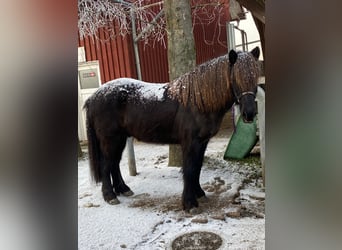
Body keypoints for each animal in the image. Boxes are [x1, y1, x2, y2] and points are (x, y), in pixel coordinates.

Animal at [83, 47, 260, 211]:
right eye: (235, 78)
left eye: (255, 77)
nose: (249, 113)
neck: (197, 101)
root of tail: (93, 97)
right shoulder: (191, 142)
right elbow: (190, 169)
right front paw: (189, 203)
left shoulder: (202, 142)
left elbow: (197, 168)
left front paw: (199, 194)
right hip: (110, 139)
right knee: (106, 164)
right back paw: (110, 196)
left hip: (120, 139)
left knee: (114, 163)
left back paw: (123, 189)